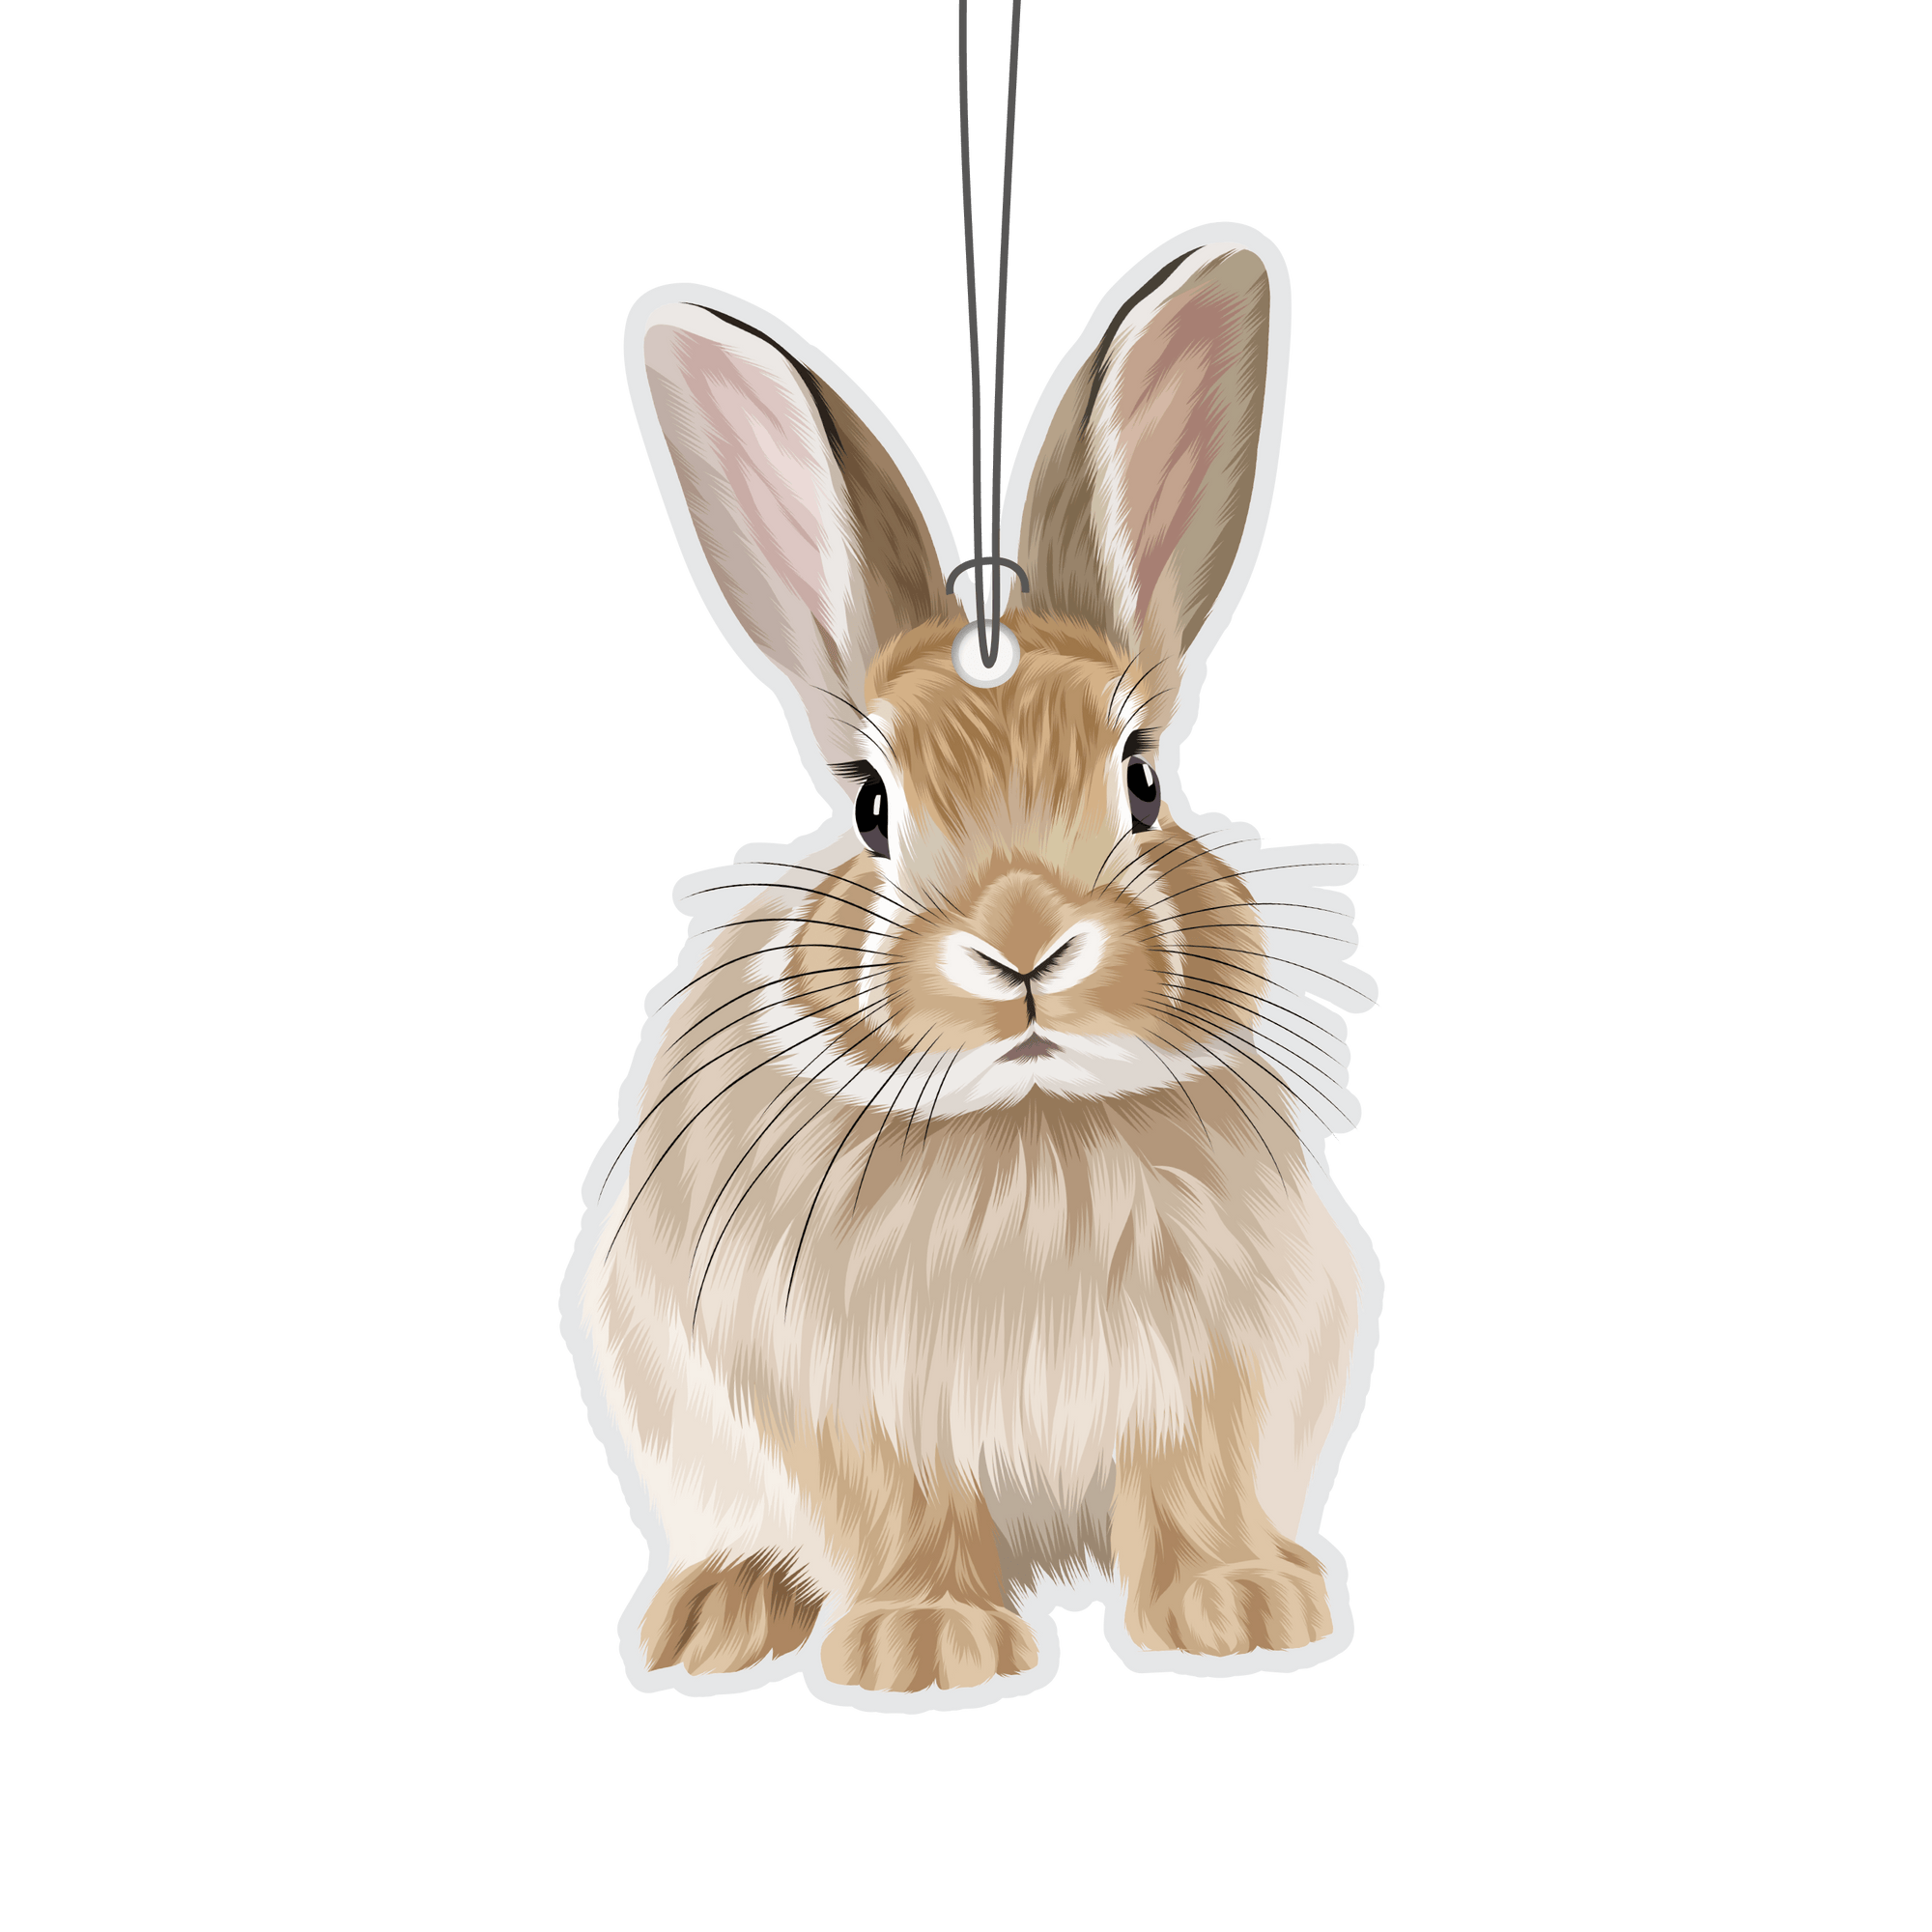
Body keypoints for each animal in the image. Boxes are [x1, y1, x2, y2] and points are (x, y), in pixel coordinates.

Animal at [560, 221, 1385, 1710]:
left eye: (1143, 780)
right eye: (871, 806)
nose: (1022, 944)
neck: (1031, 1121)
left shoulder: (1224, 1367)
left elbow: (1192, 1487)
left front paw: (1239, 1612)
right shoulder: (822, 1390)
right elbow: (899, 1507)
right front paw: (924, 1647)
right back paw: (714, 1617)